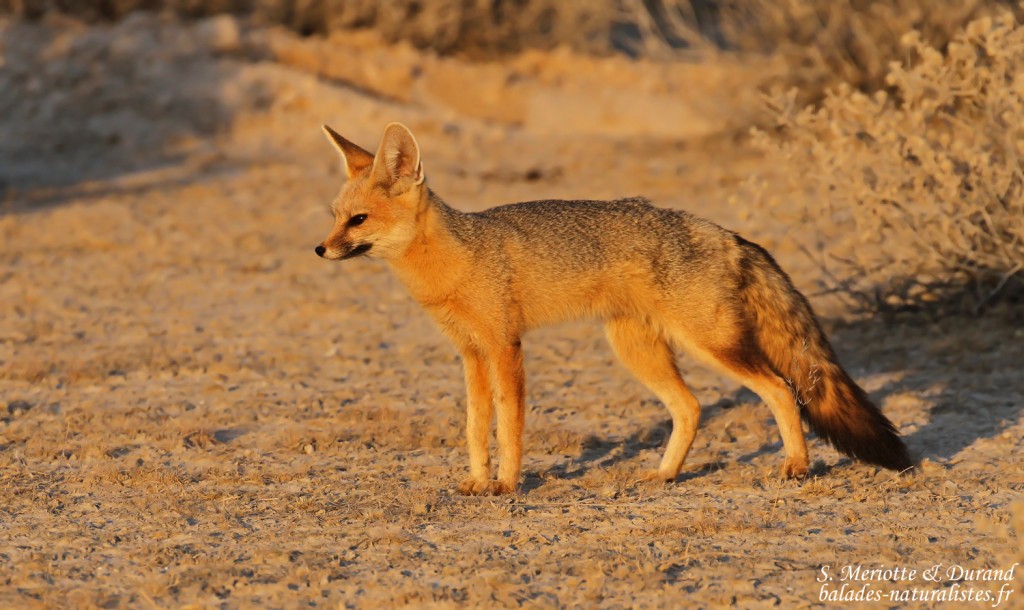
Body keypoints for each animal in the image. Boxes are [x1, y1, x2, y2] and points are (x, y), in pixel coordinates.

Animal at [314, 122, 913, 495]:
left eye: (358, 221)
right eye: (335, 216)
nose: (320, 250)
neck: (456, 259)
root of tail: (724, 233)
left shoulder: (506, 347)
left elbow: (509, 426)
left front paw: (505, 485)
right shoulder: (470, 355)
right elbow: (474, 427)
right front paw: (478, 481)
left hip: (712, 348)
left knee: (781, 390)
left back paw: (796, 466)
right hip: (636, 350)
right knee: (691, 407)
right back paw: (665, 475)